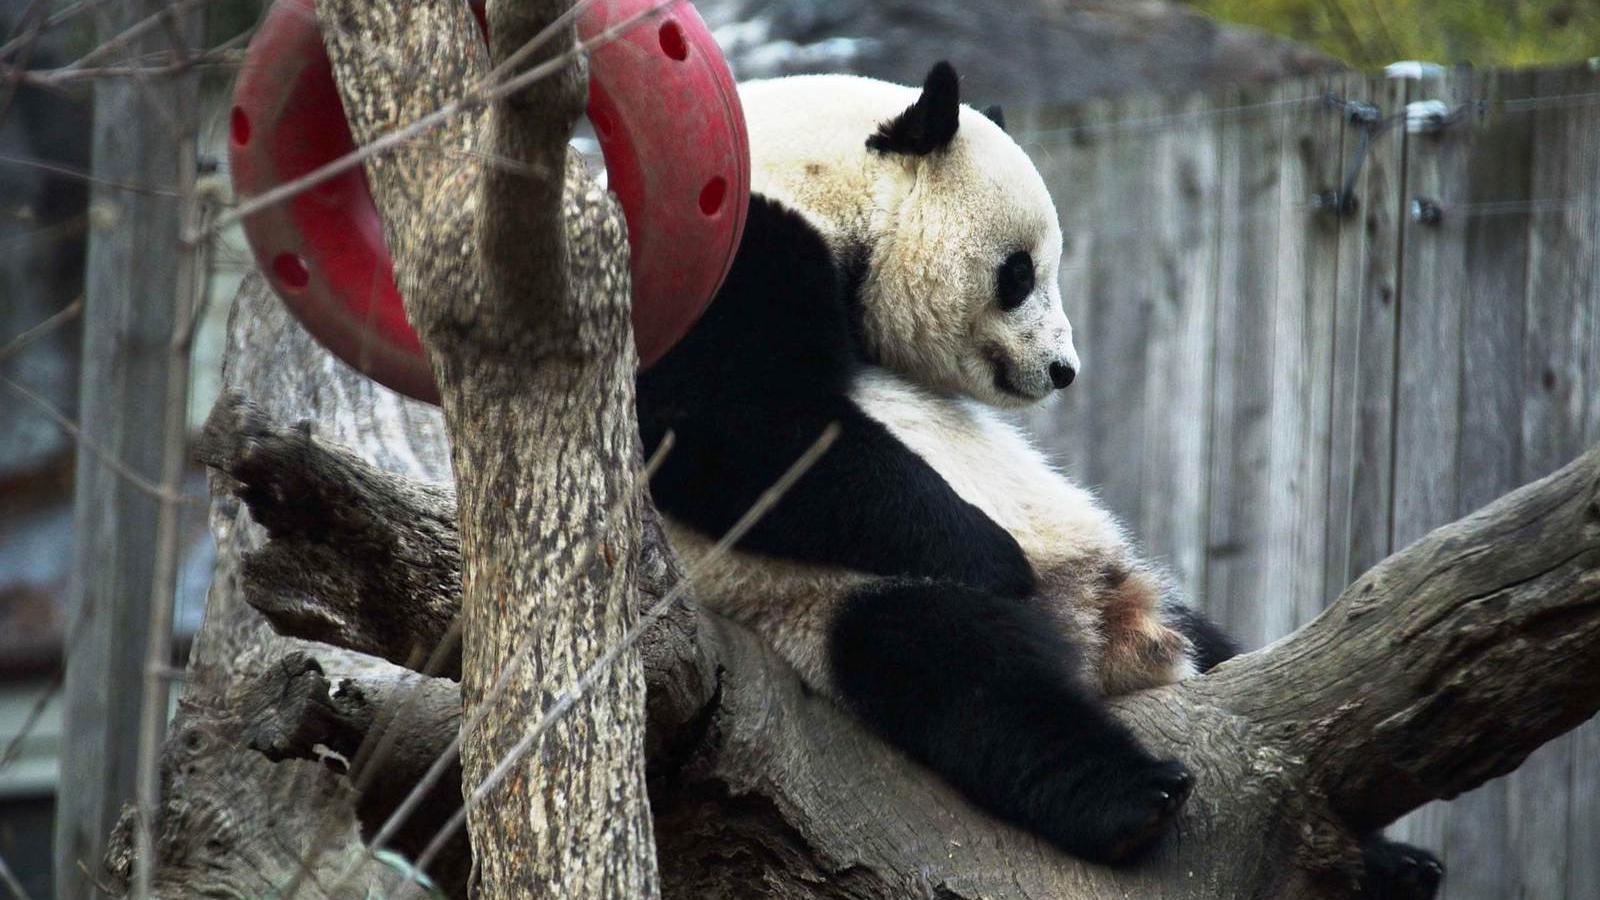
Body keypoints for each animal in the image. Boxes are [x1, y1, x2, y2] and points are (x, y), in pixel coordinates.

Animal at [630, 61, 1446, 890]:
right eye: (1018, 273)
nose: (1063, 369)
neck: (811, 174)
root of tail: (1102, 638)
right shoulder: (729, 253)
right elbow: (732, 424)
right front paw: (998, 557)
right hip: (822, 601)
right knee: (967, 672)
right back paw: (1133, 798)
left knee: (1214, 649)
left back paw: (1391, 860)